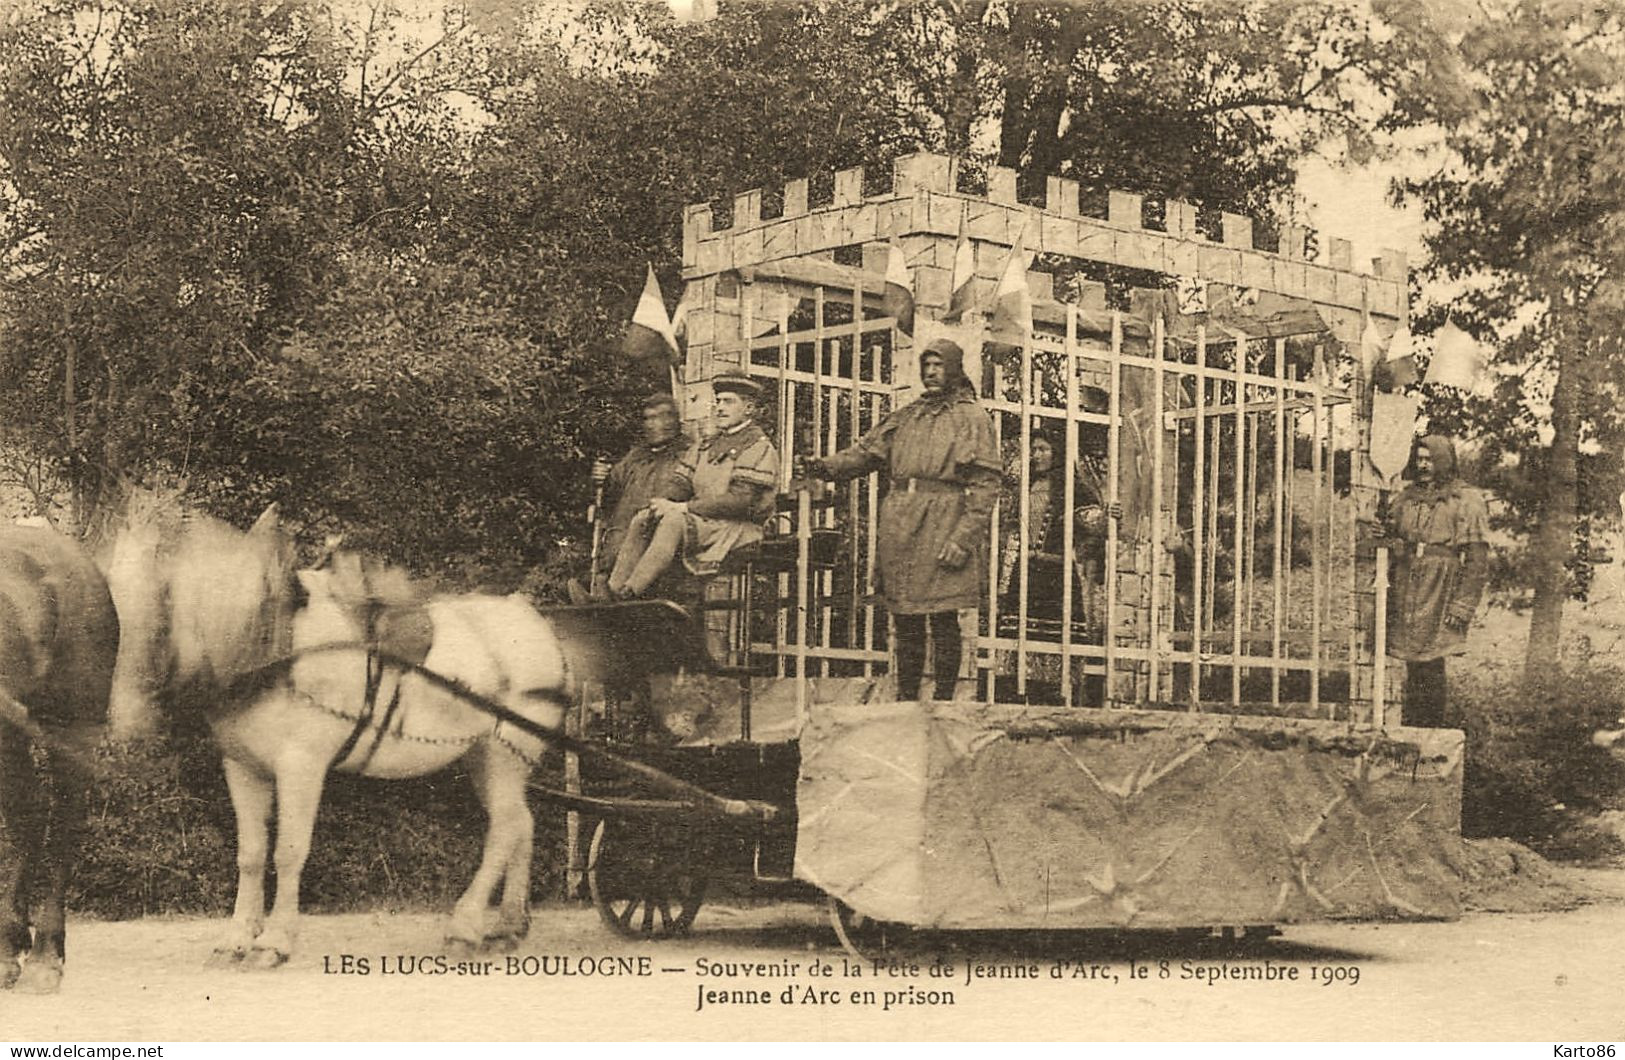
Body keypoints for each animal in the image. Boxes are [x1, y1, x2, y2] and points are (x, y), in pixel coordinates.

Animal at [108, 507, 572, 968]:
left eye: (150, 604)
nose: (119, 716)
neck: (273, 642)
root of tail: (532, 619)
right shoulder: (243, 768)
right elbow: (251, 855)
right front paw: (236, 938)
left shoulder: (301, 765)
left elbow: (288, 851)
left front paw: (274, 940)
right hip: (482, 755)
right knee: (521, 822)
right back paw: (508, 926)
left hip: (505, 751)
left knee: (506, 827)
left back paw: (464, 927)